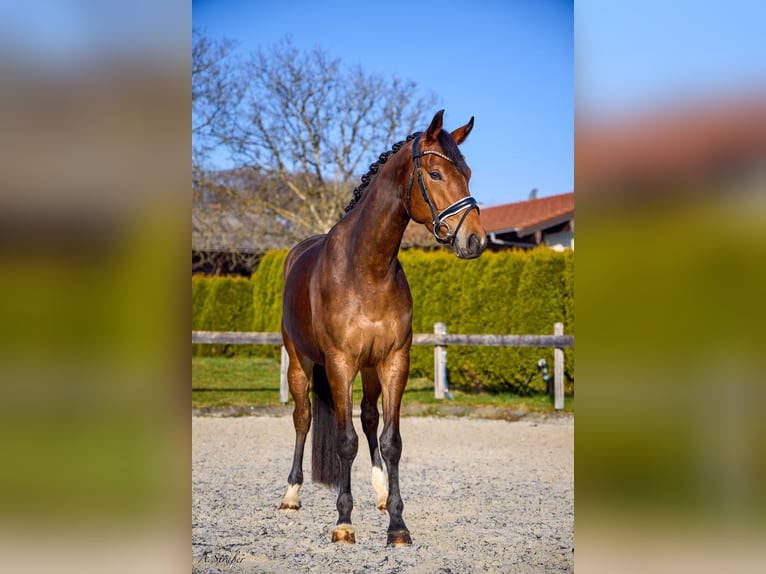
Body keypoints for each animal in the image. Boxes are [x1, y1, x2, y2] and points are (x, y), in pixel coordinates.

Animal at [279, 110, 487, 546]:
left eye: (467, 173)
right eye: (435, 173)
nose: (474, 240)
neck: (367, 269)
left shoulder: (394, 362)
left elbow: (391, 442)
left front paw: (397, 524)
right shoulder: (340, 363)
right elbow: (345, 442)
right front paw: (343, 523)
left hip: (371, 369)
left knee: (370, 418)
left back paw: (377, 493)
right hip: (300, 362)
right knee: (303, 417)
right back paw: (291, 494)